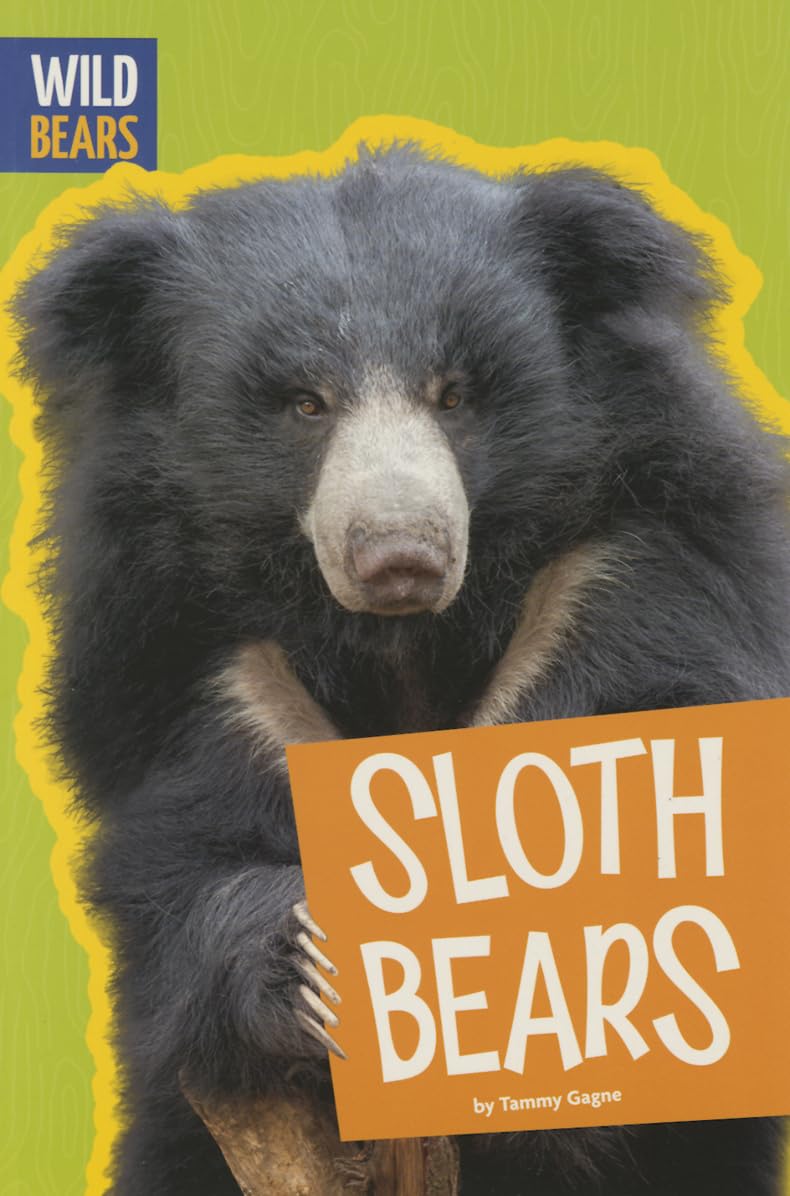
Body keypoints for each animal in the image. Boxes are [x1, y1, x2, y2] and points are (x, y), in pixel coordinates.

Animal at [12, 144, 789, 1195]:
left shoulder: (631, 583)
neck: (404, 646)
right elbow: (182, 865)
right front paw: (311, 967)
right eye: (305, 403)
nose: (399, 556)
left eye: (453, 394)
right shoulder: (200, 673)